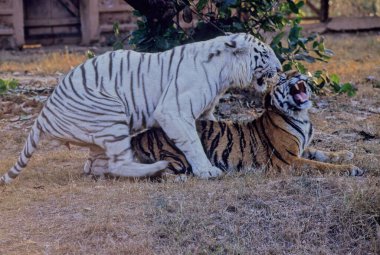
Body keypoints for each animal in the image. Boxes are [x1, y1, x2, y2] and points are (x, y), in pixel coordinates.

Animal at [0, 32, 282, 184]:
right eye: (266, 54)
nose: (280, 69)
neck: (224, 73)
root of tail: (43, 116)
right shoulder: (173, 111)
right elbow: (192, 141)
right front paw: (206, 170)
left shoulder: (204, 111)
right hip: (111, 113)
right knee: (118, 163)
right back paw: (156, 166)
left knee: (95, 165)